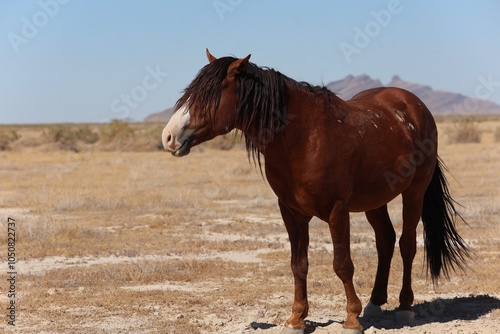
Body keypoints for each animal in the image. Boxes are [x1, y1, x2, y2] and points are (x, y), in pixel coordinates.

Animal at [161, 49, 468, 332]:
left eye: (208, 95)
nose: (168, 137)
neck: (303, 137)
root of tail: (414, 105)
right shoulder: (291, 211)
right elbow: (299, 264)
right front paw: (296, 318)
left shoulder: (337, 209)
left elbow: (342, 263)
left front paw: (352, 319)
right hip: (375, 200)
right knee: (385, 240)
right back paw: (375, 302)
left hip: (414, 192)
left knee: (407, 245)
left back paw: (404, 307)